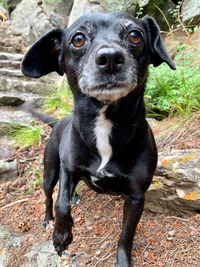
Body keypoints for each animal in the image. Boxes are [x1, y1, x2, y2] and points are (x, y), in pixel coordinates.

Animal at [21, 11, 176, 266]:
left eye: (135, 35)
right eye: (78, 39)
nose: (110, 57)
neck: (104, 126)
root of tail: (58, 122)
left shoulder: (136, 197)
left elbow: (126, 234)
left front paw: (123, 260)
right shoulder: (68, 168)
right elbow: (60, 203)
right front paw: (61, 237)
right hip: (50, 171)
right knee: (49, 196)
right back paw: (49, 220)